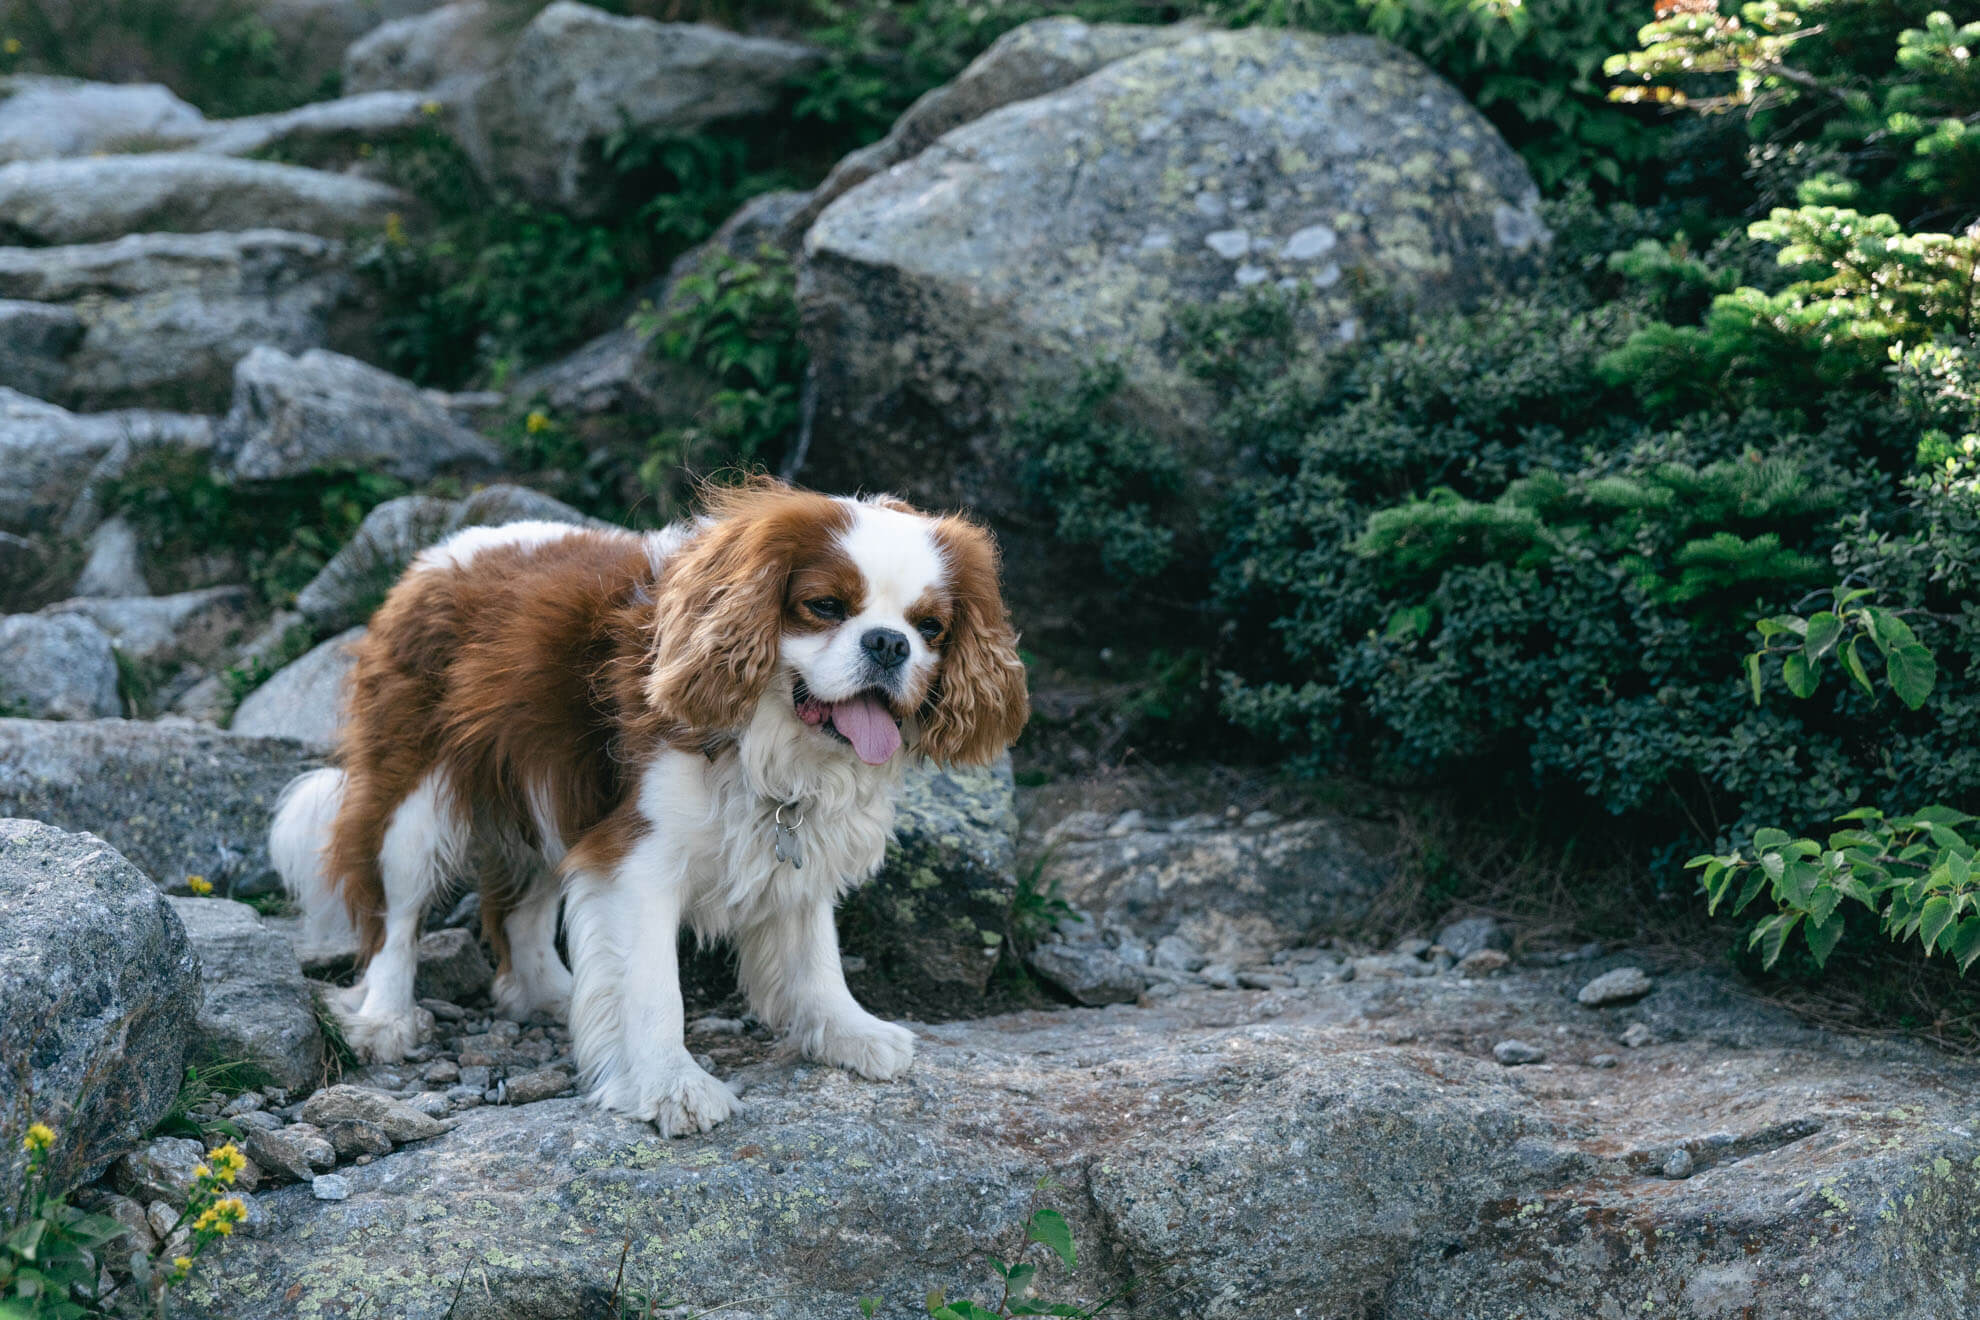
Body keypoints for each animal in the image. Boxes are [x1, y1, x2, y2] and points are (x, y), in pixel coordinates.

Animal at [271, 480, 1029, 1139]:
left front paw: (849, 1031)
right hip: (414, 801)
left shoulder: (792, 843)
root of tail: (434, 557)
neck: (770, 740)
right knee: (394, 920)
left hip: (545, 788)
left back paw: (550, 994)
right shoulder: (638, 859)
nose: (889, 643)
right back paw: (385, 1018)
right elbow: (656, 989)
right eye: (825, 606)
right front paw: (672, 1086)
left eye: (930, 627)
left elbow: (816, 955)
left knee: (519, 906)